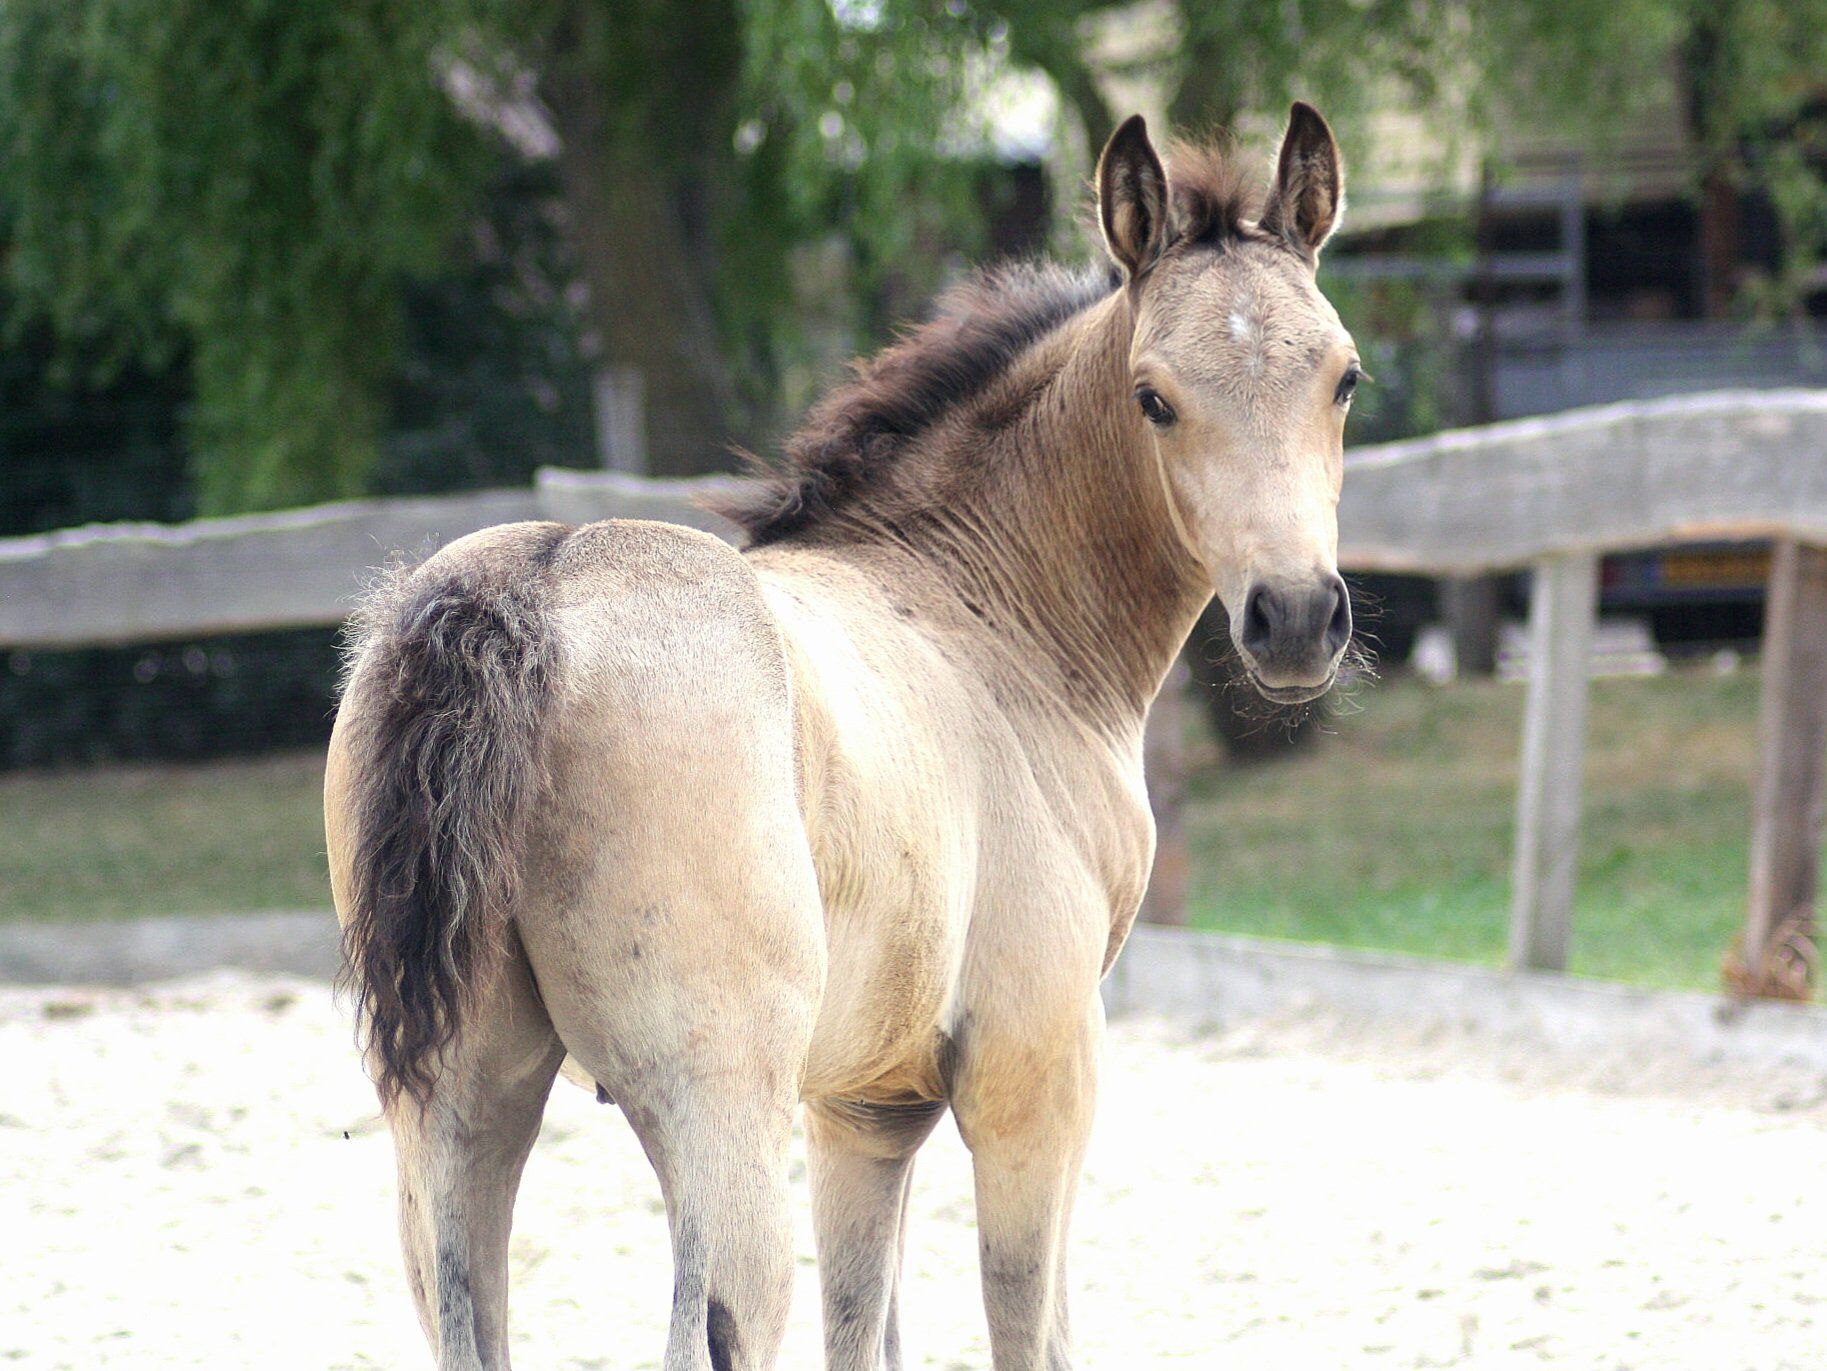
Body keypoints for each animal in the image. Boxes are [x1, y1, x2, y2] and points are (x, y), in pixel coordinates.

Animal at [325, 104, 1360, 1371]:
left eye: (1343, 378)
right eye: (1153, 396)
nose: (1296, 617)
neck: (980, 612)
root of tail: (531, 585)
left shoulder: (866, 1110)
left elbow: (864, 1327)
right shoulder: (1036, 1073)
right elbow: (1029, 1325)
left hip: (460, 1113)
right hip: (715, 1119)